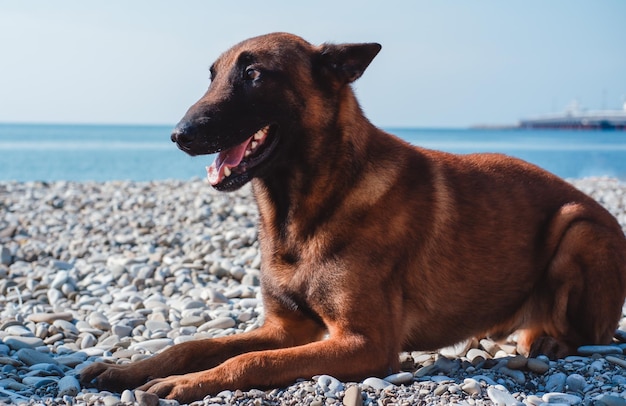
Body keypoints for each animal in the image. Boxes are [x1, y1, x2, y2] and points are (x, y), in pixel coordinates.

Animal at [79, 33, 624, 402]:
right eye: (212, 76)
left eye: (255, 74)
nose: (179, 134)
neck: (301, 209)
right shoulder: (285, 328)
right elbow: (196, 344)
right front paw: (133, 369)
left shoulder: (364, 344)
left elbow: (249, 359)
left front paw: (186, 383)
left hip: (578, 228)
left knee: (588, 333)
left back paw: (546, 340)